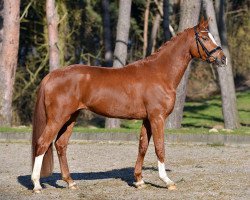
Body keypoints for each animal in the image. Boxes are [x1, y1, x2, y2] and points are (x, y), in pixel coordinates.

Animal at [31, 18, 227, 192]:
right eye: (204, 38)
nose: (222, 58)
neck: (160, 74)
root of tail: (52, 75)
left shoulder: (147, 119)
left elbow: (142, 147)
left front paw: (139, 180)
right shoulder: (157, 118)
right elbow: (159, 147)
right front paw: (167, 181)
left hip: (71, 117)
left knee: (60, 145)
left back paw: (70, 182)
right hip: (57, 118)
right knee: (42, 143)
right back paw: (37, 185)